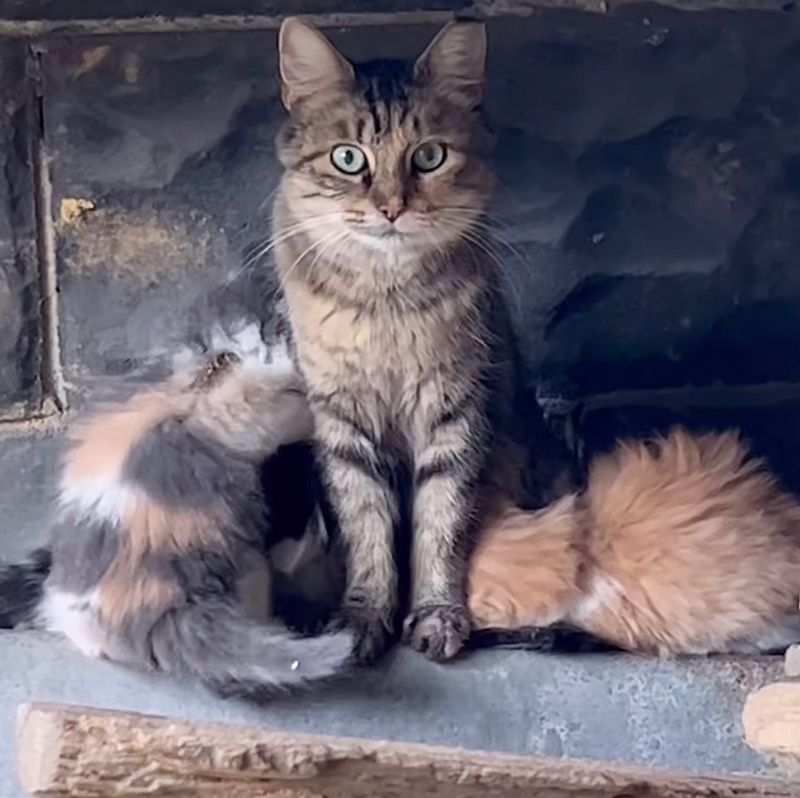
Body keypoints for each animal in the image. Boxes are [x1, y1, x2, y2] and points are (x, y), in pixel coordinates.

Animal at [272, 18, 516, 664]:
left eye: (428, 156)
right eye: (348, 158)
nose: (390, 208)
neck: (386, 302)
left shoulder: (455, 411)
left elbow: (441, 522)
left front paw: (436, 615)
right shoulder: (342, 420)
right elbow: (367, 527)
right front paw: (362, 619)